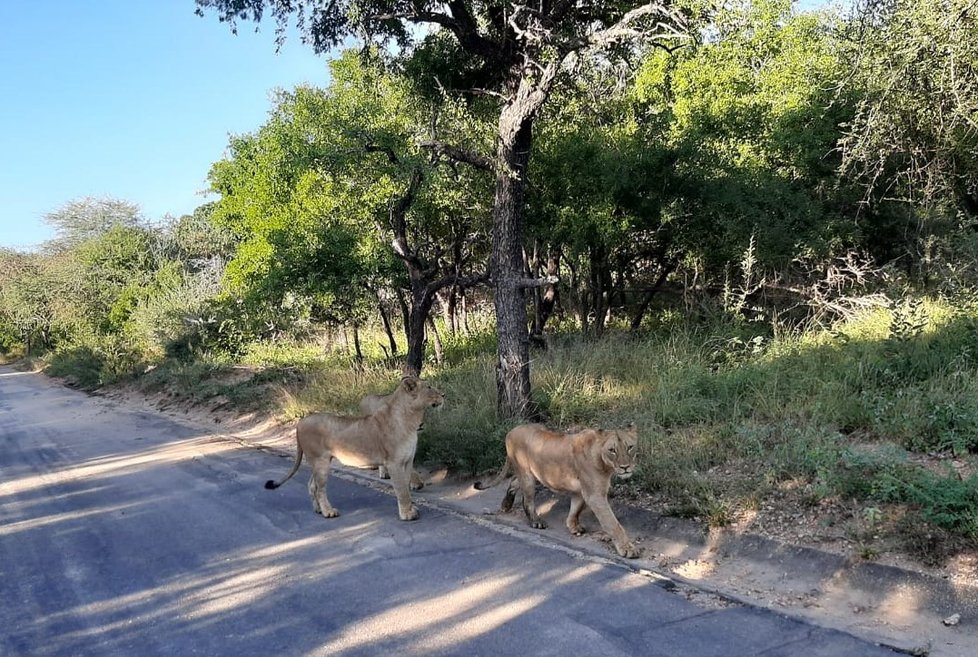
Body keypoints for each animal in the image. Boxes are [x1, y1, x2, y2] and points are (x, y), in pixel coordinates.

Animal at [262, 376, 440, 520]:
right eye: (429, 387)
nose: (443, 395)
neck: (411, 418)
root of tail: (300, 422)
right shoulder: (393, 463)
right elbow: (402, 489)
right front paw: (407, 514)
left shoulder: (407, 461)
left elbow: (407, 488)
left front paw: (411, 508)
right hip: (320, 461)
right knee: (319, 488)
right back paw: (328, 512)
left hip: (318, 461)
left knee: (312, 485)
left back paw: (318, 510)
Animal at [474, 422, 640, 556]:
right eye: (612, 450)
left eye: (630, 447)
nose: (625, 467)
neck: (605, 464)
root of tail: (511, 431)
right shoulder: (594, 495)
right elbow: (612, 523)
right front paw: (628, 549)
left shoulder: (580, 491)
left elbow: (575, 509)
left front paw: (573, 527)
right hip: (527, 477)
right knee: (527, 499)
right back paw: (536, 521)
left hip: (535, 474)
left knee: (514, 481)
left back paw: (506, 505)